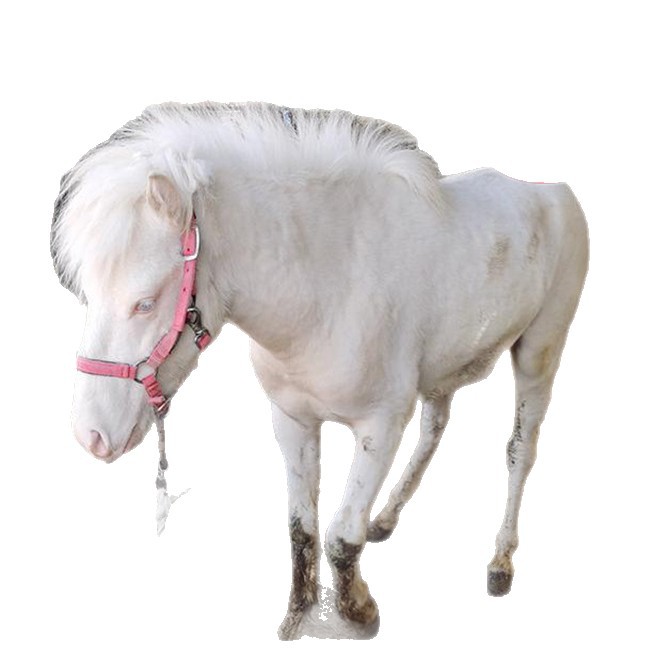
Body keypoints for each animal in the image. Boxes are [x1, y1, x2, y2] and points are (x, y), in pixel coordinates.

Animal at [51, 102, 589, 640]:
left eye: (145, 302)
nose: (91, 436)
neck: (331, 284)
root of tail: (556, 190)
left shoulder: (379, 427)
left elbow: (340, 538)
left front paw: (360, 612)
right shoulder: (292, 420)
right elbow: (302, 529)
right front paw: (298, 615)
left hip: (541, 350)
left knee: (520, 451)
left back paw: (500, 562)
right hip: (445, 369)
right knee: (435, 429)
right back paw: (387, 518)